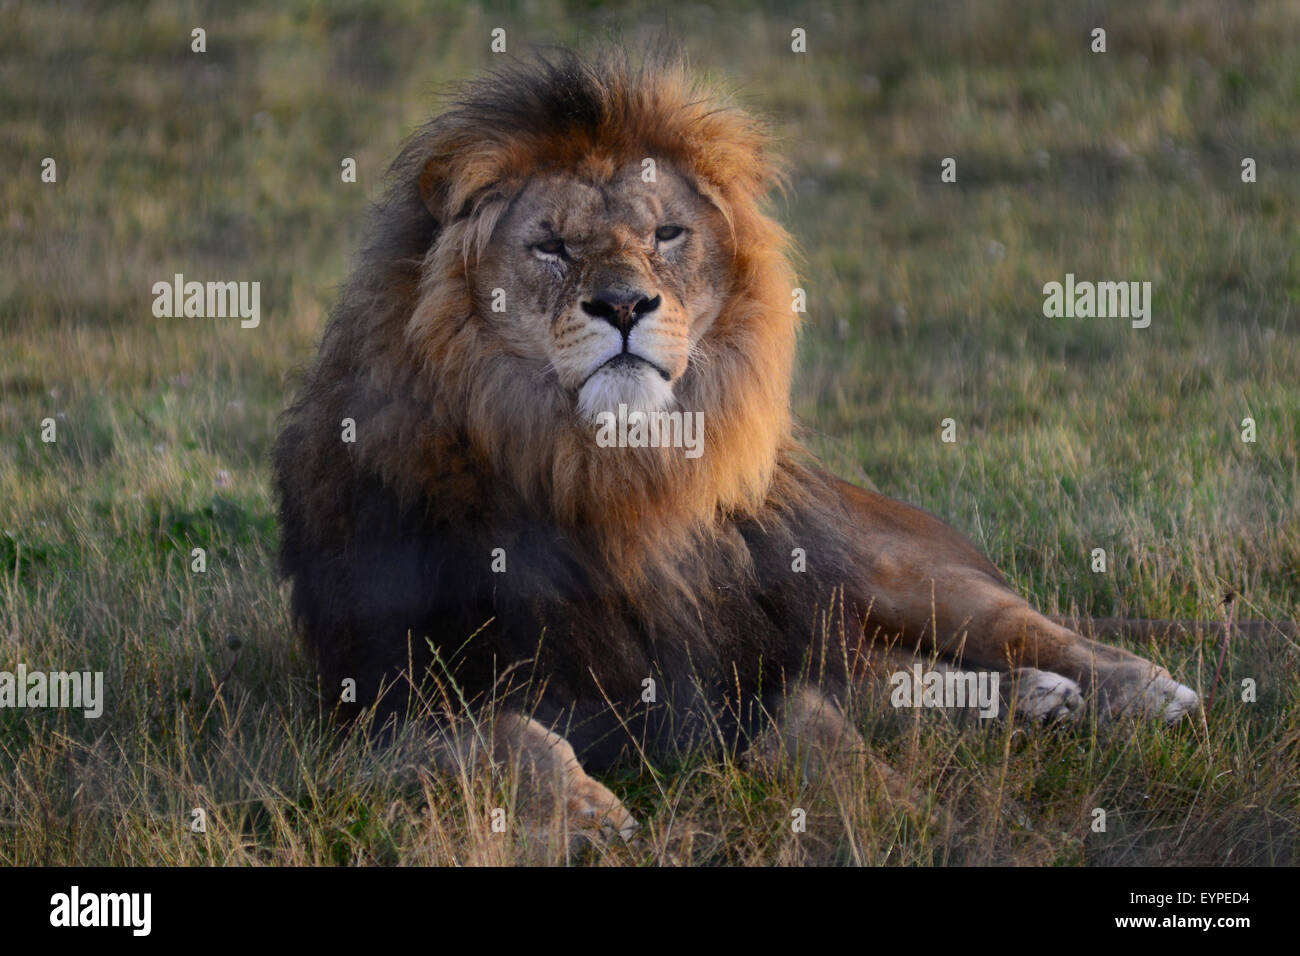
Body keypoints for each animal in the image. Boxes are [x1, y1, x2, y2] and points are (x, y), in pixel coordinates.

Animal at [273, 48, 1203, 843]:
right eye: (551, 245)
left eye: (666, 235)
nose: (623, 305)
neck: (608, 473)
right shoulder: (377, 710)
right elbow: (512, 737)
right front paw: (587, 816)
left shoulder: (737, 665)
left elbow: (820, 724)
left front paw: (908, 815)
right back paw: (1037, 703)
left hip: (885, 569)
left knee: (1014, 634)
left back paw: (1137, 691)